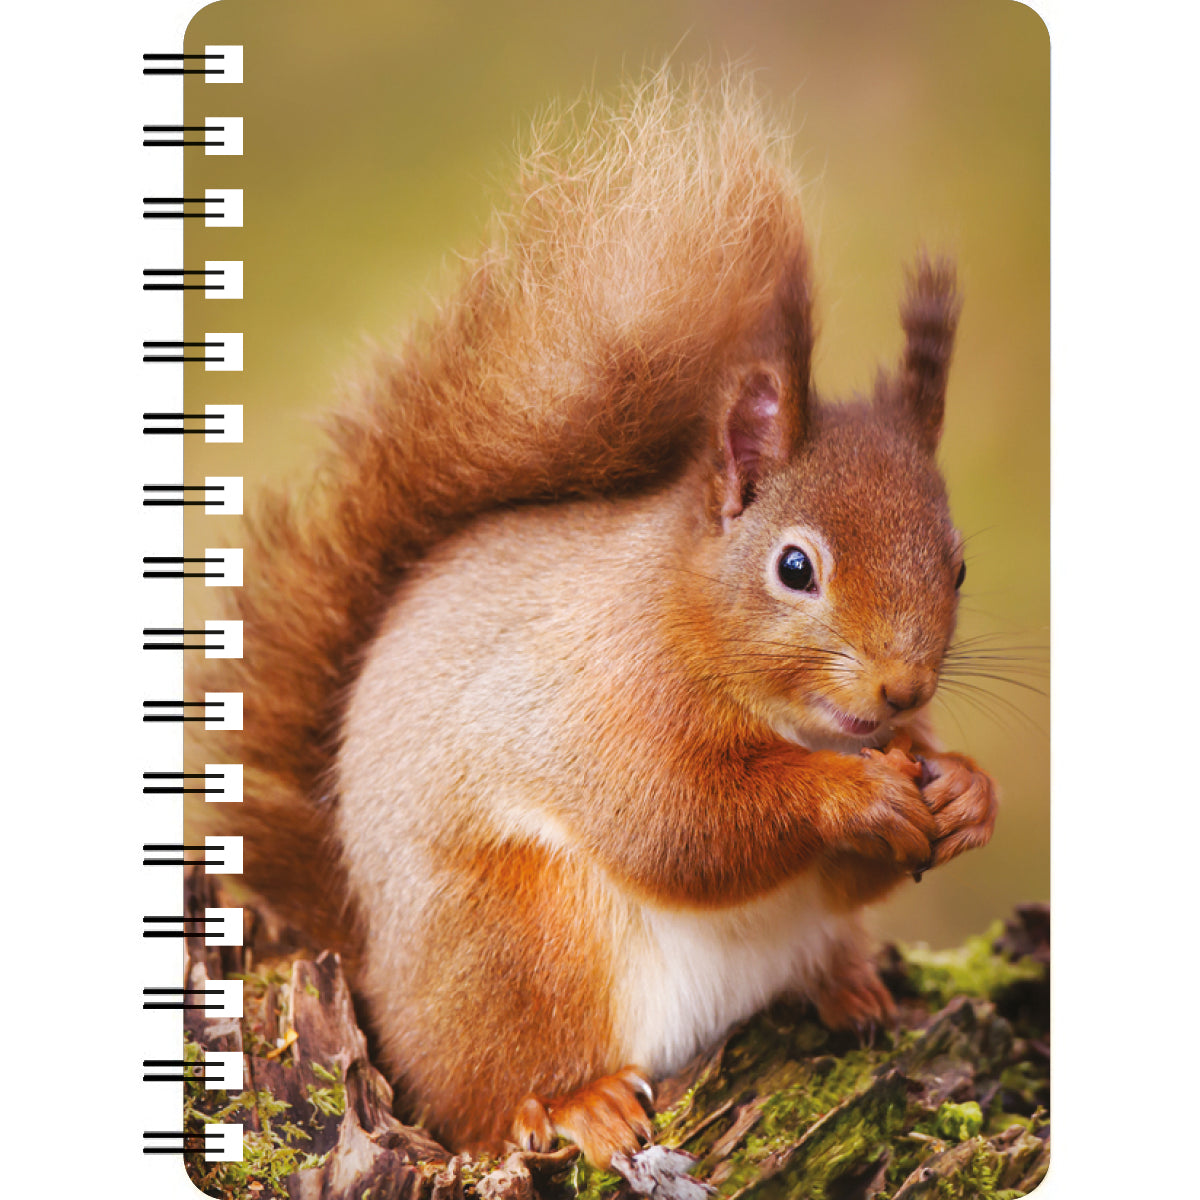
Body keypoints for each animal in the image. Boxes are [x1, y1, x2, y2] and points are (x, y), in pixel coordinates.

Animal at [201, 72, 998, 1167]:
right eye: (795, 567)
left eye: (959, 566)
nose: (904, 687)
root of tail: (374, 980)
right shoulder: (603, 698)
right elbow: (677, 824)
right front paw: (853, 796)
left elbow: (842, 872)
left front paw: (964, 790)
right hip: (524, 944)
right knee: (489, 1097)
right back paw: (578, 1104)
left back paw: (849, 989)